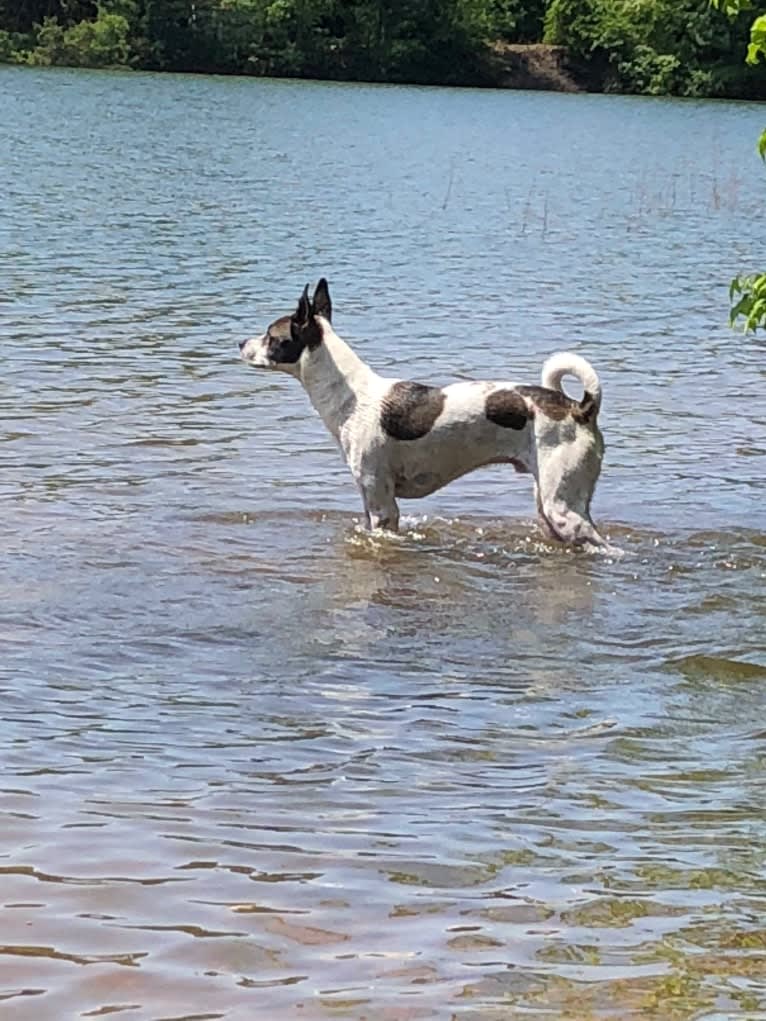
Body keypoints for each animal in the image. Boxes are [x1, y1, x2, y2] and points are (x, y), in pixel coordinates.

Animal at [236, 277, 608, 551]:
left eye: (270, 336)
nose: (240, 343)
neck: (352, 396)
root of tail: (581, 407)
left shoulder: (382, 505)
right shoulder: (370, 503)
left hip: (563, 510)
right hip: (548, 506)